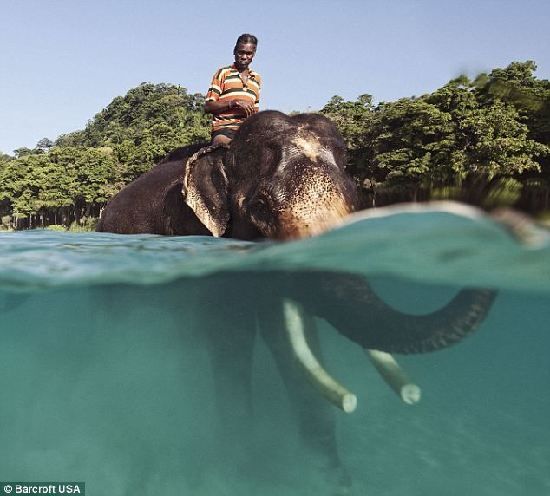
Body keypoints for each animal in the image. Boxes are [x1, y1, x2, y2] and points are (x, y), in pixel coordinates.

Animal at [97, 110, 498, 494]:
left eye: (355, 202)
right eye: (260, 207)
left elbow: (292, 338)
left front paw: (332, 479)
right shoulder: (195, 240)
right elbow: (231, 337)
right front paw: (244, 472)